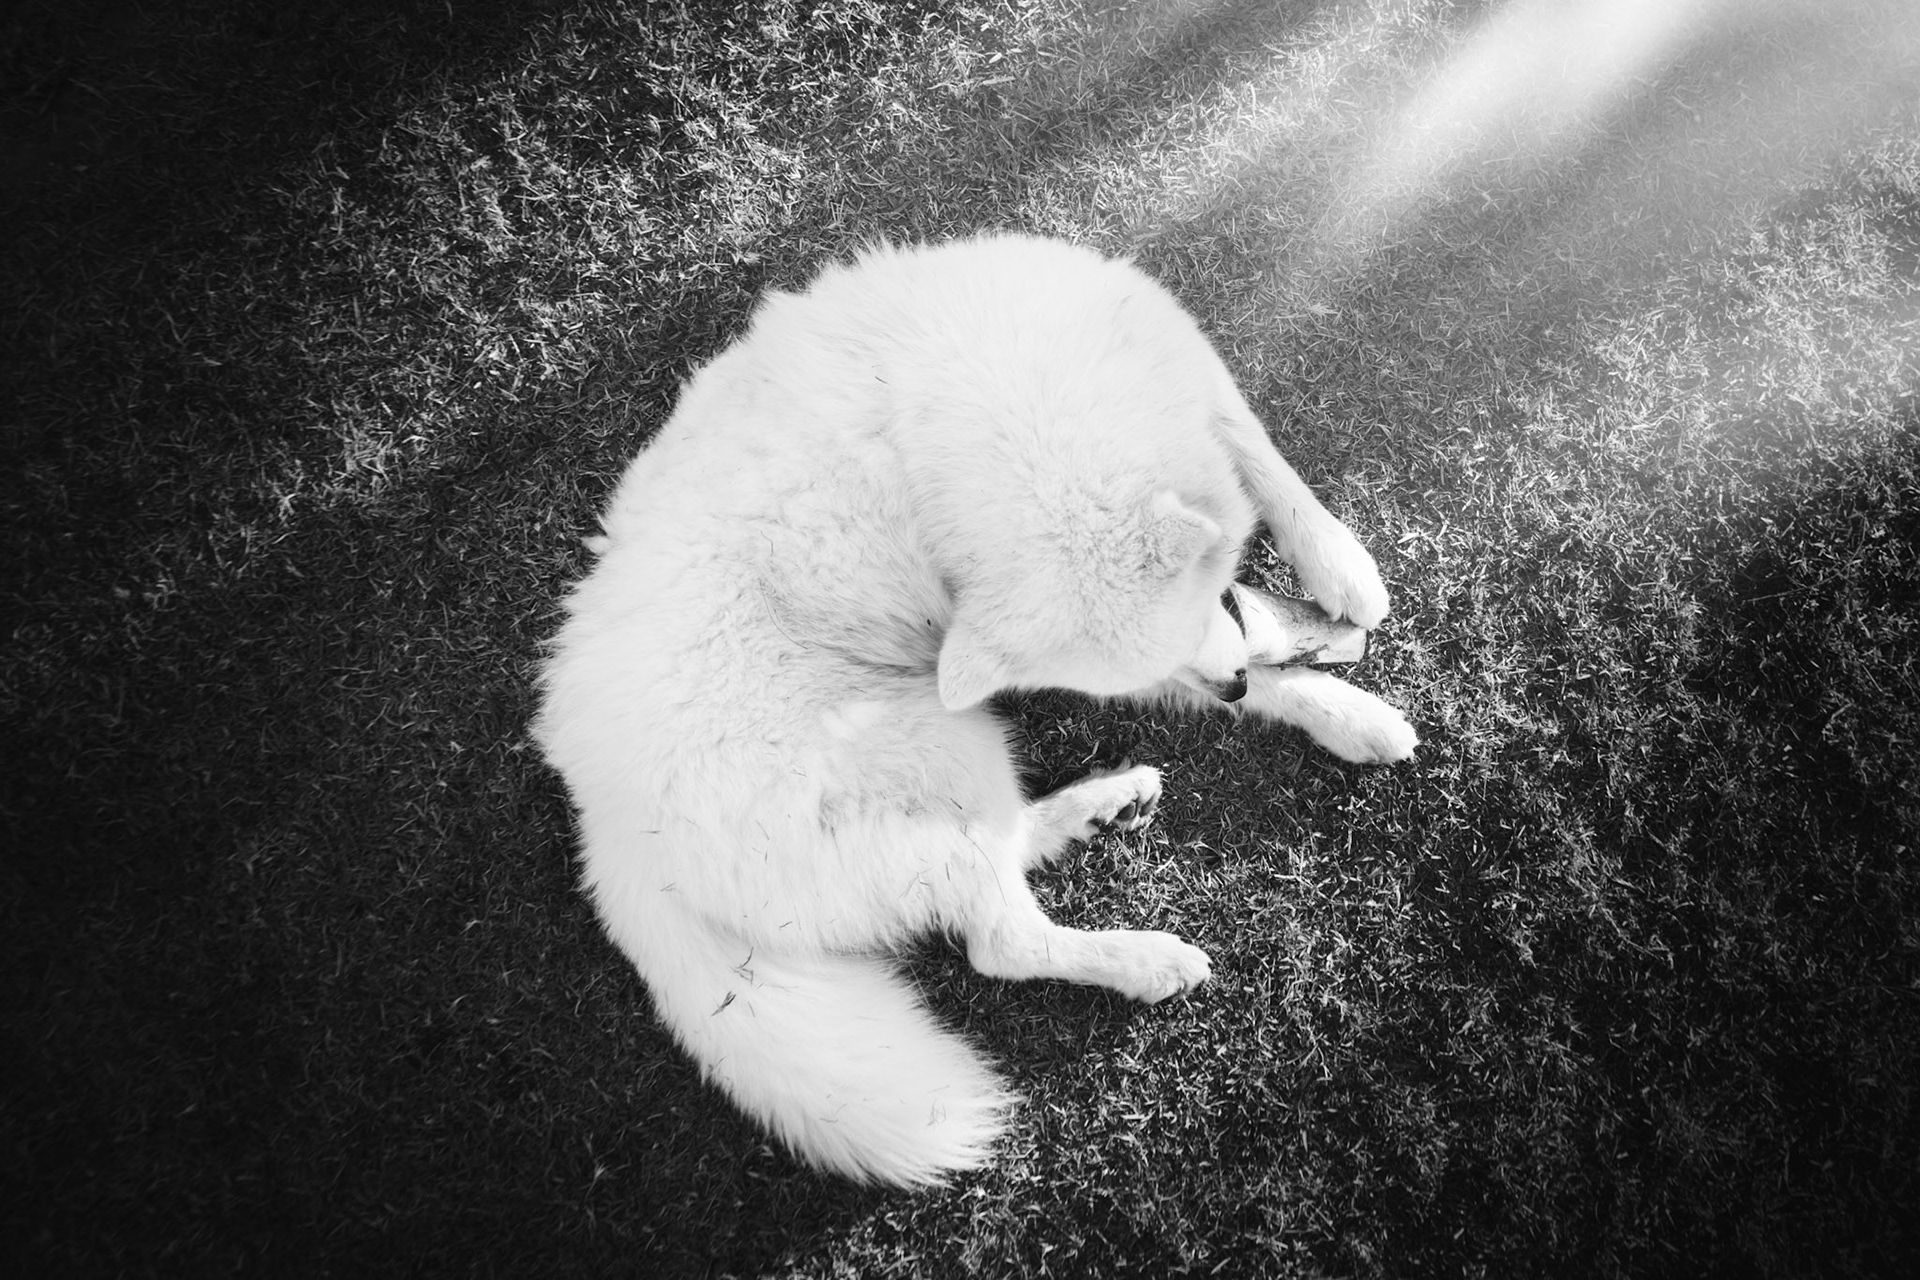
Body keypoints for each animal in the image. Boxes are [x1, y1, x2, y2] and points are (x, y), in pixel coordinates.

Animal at [534, 234, 1416, 1187]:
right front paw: (1323, 674)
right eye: (1195, 623)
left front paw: (1339, 587)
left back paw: (1099, 806)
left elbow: (1260, 455)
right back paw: (1143, 958)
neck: (962, 388)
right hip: (943, 745)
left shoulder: (1165, 345)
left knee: (1003, 853)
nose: (1233, 692)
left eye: (1213, 601)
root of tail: (606, 831)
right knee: (1001, 941)